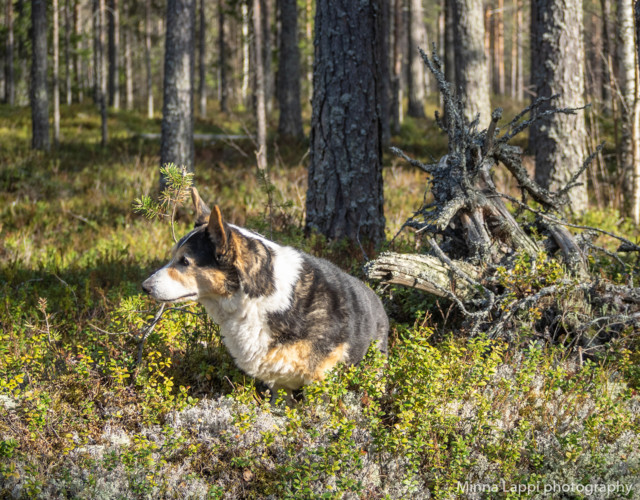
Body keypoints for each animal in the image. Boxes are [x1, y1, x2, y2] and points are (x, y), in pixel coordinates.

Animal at [141, 188, 390, 398]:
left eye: (184, 261)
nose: (144, 287)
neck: (256, 297)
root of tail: (377, 300)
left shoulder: (319, 379)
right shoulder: (280, 382)